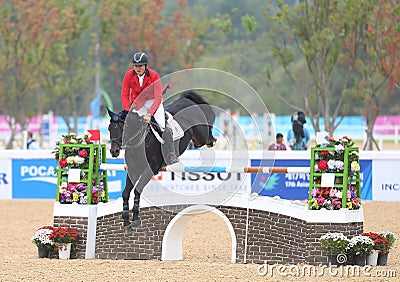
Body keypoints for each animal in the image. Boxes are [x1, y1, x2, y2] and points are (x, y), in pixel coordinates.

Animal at [107, 91, 216, 230]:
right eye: (109, 128)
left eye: (123, 128)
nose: (114, 151)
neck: (140, 142)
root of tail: (186, 100)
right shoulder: (133, 170)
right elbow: (126, 193)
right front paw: (126, 221)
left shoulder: (150, 169)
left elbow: (137, 190)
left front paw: (136, 218)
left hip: (201, 133)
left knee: (206, 135)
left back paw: (212, 140)